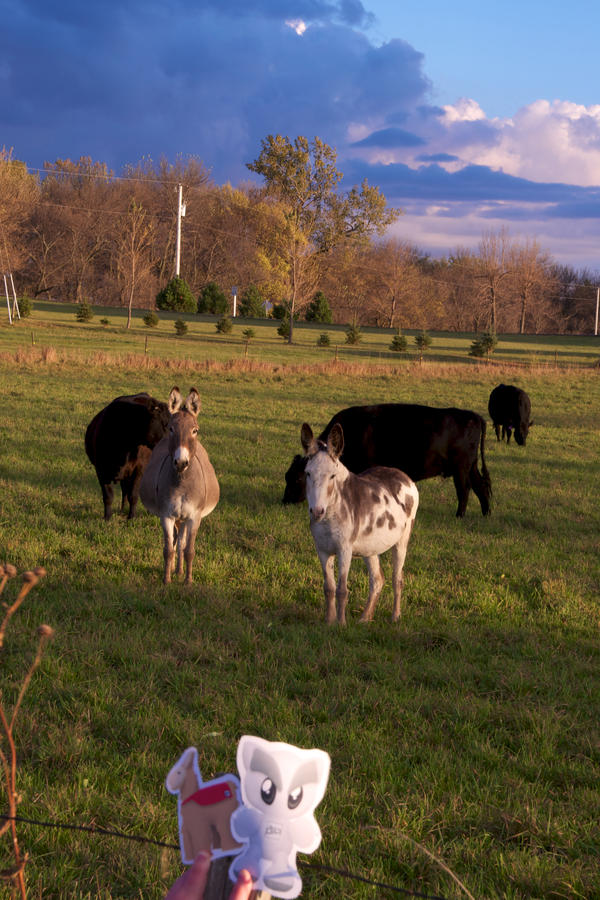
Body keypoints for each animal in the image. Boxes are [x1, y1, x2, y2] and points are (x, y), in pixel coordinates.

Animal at [84, 392, 170, 520]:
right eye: (165, 424)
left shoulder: (139, 470)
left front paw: (131, 517)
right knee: (124, 490)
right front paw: (107, 517)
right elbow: (108, 496)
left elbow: (133, 495)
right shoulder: (100, 470)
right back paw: (122, 509)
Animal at [140, 384, 220, 584]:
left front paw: (188, 582)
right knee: (177, 541)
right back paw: (175, 571)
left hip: (185, 518)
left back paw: (180, 571)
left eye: (195, 430)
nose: (181, 463)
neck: (181, 483)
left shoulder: (194, 517)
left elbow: (189, 550)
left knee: (182, 541)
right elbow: (168, 549)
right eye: (170, 428)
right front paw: (166, 581)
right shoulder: (166, 515)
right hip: (177, 517)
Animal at [282, 404, 492, 516]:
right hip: (471, 467)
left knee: (464, 490)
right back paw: (485, 514)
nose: (285, 500)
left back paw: (459, 515)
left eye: (298, 478)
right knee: (481, 487)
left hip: (461, 468)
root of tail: (473, 416)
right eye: (287, 476)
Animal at [302, 424, 420, 624]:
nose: (317, 512)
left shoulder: (345, 549)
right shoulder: (322, 550)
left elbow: (341, 590)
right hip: (370, 547)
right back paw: (365, 619)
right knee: (377, 580)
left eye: (332, 476)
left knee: (397, 579)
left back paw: (395, 617)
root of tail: (403, 475)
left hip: (402, 541)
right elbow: (329, 588)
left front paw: (341, 624)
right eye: (308, 473)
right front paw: (328, 622)